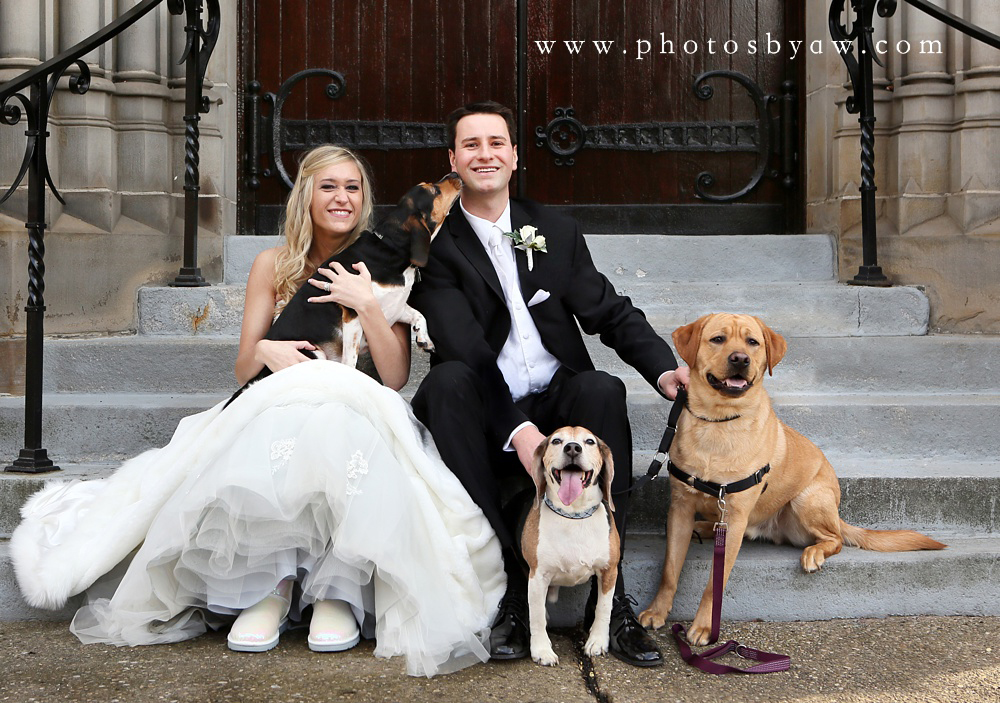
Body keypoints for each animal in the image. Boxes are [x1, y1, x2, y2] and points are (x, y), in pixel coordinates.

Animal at [520, 428, 620, 664]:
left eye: (590, 441)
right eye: (557, 440)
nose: (573, 448)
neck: (573, 514)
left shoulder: (609, 570)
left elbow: (604, 608)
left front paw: (597, 641)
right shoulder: (537, 575)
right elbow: (536, 615)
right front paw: (541, 650)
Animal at [640, 316, 944, 648]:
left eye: (752, 342)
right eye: (718, 339)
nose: (740, 359)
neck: (719, 421)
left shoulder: (735, 515)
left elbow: (714, 583)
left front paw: (706, 626)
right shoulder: (679, 509)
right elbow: (669, 571)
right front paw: (657, 611)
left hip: (807, 500)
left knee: (835, 539)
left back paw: (814, 552)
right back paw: (705, 528)